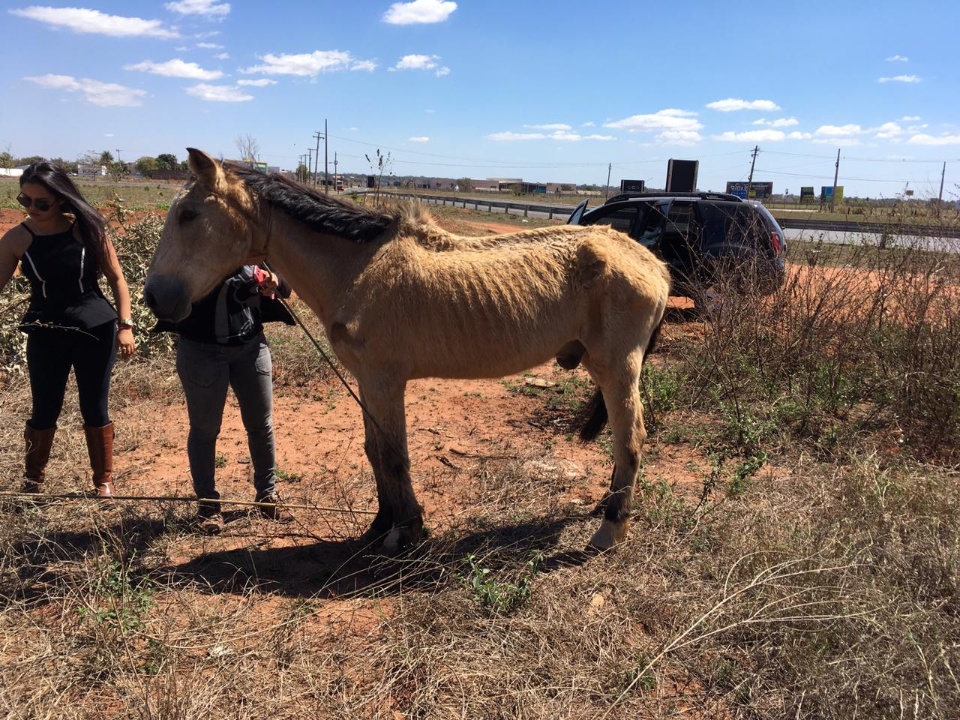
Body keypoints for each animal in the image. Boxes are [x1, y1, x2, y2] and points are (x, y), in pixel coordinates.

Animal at [144, 146, 668, 552]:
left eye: (189, 215)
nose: (155, 298)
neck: (359, 265)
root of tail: (652, 263)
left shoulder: (384, 380)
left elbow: (394, 455)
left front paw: (407, 532)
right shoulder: (366, 382)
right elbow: (375, 451)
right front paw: (379, 526)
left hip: (617, 369)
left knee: (631, 439)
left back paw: (609, 531)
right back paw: (606, 506)